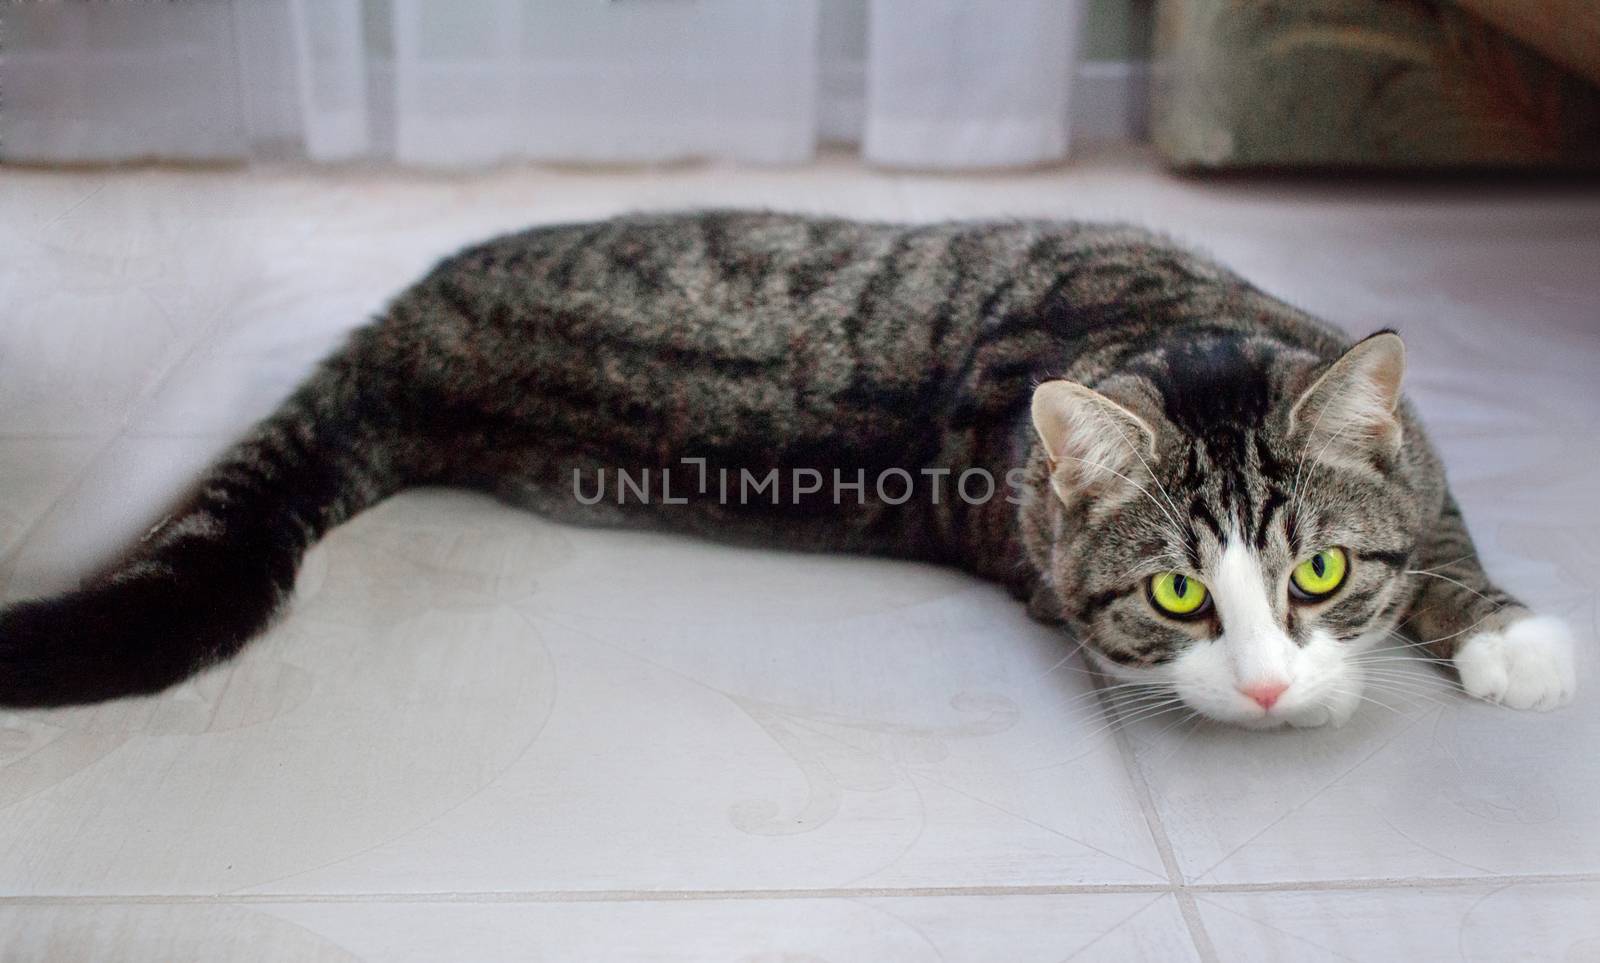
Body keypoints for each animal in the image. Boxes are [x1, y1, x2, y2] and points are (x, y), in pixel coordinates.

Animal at [0, 207, 1574, 719]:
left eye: (1317, 569)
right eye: (1178, 598)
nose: (1263, 686)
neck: (1174, 331)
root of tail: (407, 337)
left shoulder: (1411, 456)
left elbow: (1437, 528)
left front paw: (1501, 638)